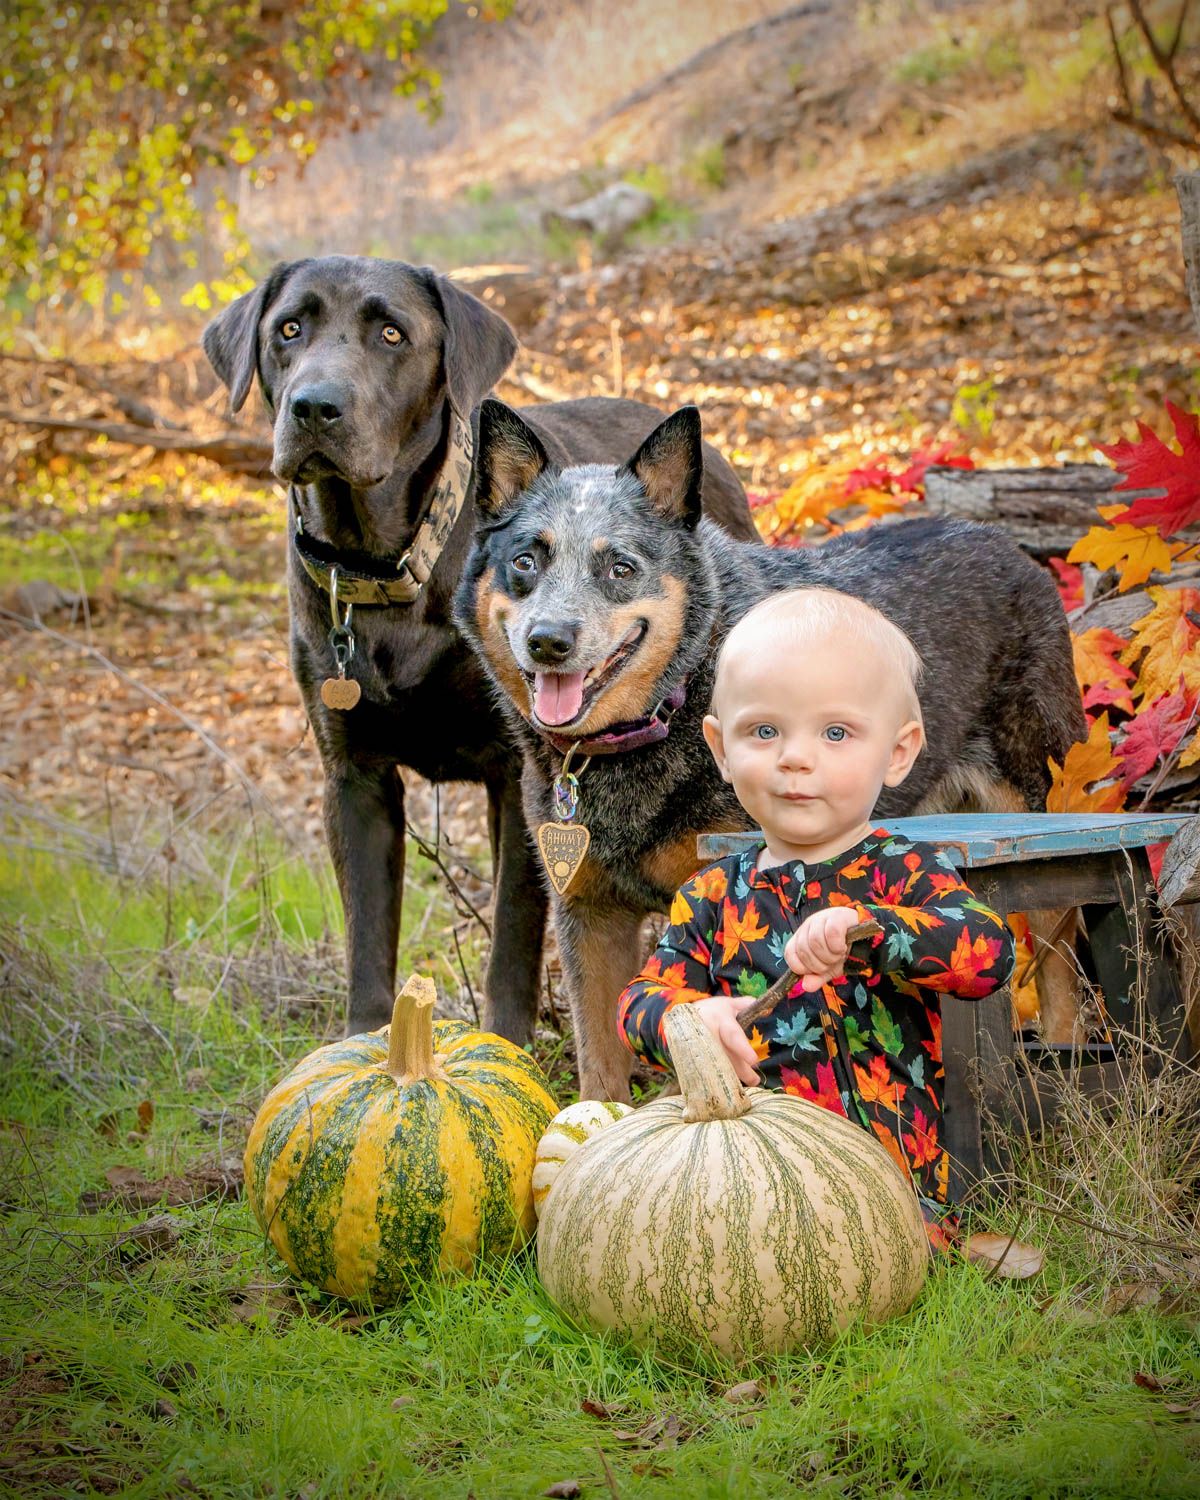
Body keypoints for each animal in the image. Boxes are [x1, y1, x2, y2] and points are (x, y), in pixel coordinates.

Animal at [202, 257, 758, 1040]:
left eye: (392, 334)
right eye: (289, 329)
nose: (314, 407)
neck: (385, 568)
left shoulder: (515, 776)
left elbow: (513, 941)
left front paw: (503, 1044)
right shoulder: (354, 778)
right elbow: (368, 939)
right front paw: (366, 1045)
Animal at [455, 400, 1088, 1100]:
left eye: (619, 567)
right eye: (525, 561)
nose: (548, 640)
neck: (672, 706)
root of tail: (1009, 546)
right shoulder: (590, 915)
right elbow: (601, 1074)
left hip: (1039, 810)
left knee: (1061, 955)